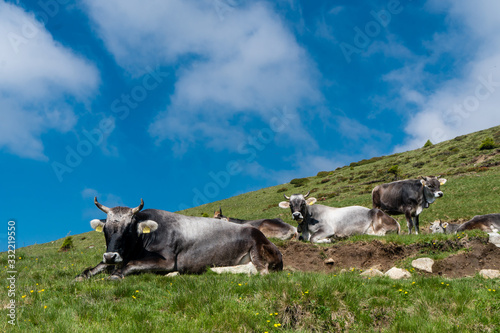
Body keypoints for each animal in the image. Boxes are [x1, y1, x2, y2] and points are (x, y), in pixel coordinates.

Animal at [76, 197, 284, 280]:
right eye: (106, 229)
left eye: (128, 229)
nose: (110, 256)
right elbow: (95, 267)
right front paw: (82, 275)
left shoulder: (167, 261)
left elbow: (129, 265)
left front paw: (116, 274)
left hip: (256, 246)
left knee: (260, 270)